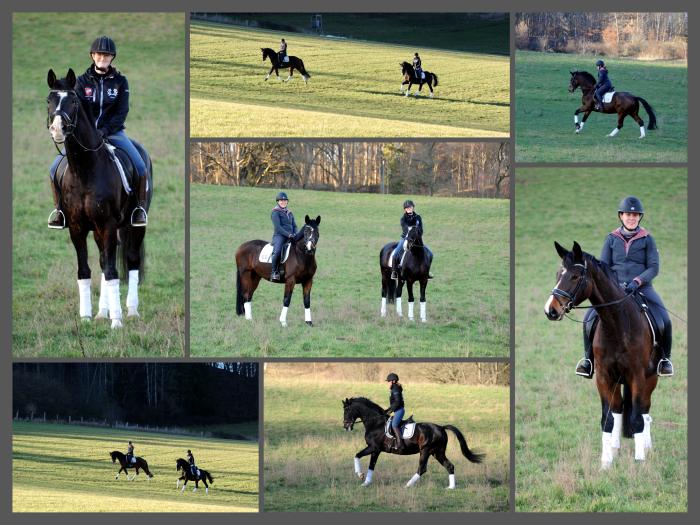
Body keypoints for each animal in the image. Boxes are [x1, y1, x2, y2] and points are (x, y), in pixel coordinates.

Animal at [46, 67, 153, 326]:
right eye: (49, 100)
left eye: (73, 101)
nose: (57, 129)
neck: (85, 170)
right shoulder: (77, 228)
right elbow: (85, 271)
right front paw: (86, 317)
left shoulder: (107, 225)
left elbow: (113, 272)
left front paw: (117, 321)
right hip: (98, 230)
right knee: (105, 262)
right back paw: (101, 312)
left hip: (135, 225)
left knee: (131, 261)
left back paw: (130, 311)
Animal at [342, 398, 484, 488]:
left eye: (347, 410)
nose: (346, 426)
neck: (376, 423)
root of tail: (441, 427)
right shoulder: (376, 450)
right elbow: (370, 464)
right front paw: (365, 482)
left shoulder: (373, 447)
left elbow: (358, 456)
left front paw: (360, 476)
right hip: (437, 452)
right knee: (449, 466)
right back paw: (451, 488)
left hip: (426, 450)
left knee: (422, 468)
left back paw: (407, 485)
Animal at [544, 241, 660, 466]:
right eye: (558, 274)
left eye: (575, 276)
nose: (550, 310)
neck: (617, 324)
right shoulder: (604, 376)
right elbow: (607, 418)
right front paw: (606, 462)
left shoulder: (637, 376)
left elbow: (637, 417)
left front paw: (639, 459)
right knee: (618, 409)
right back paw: (615, 448)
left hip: (651, 378)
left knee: (644, 410)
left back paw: (646, 446)